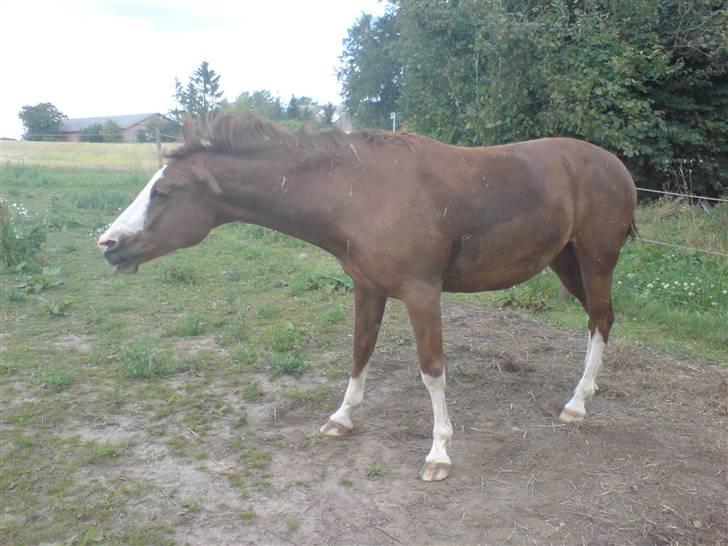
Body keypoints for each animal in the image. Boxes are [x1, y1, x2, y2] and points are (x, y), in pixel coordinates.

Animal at [98, 112, 636, 478]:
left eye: (164, 193)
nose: (109, 245)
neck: (359, 192)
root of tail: (617, 166)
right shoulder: (368, 289)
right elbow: (360, 351)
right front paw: (342, 418)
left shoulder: (422, 294)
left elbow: (432, 371)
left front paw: (439, 452)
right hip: (565, 261)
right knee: (598, 320)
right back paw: (584, 391)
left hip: (595, 260)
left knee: (602, 318)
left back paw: (577, 404)